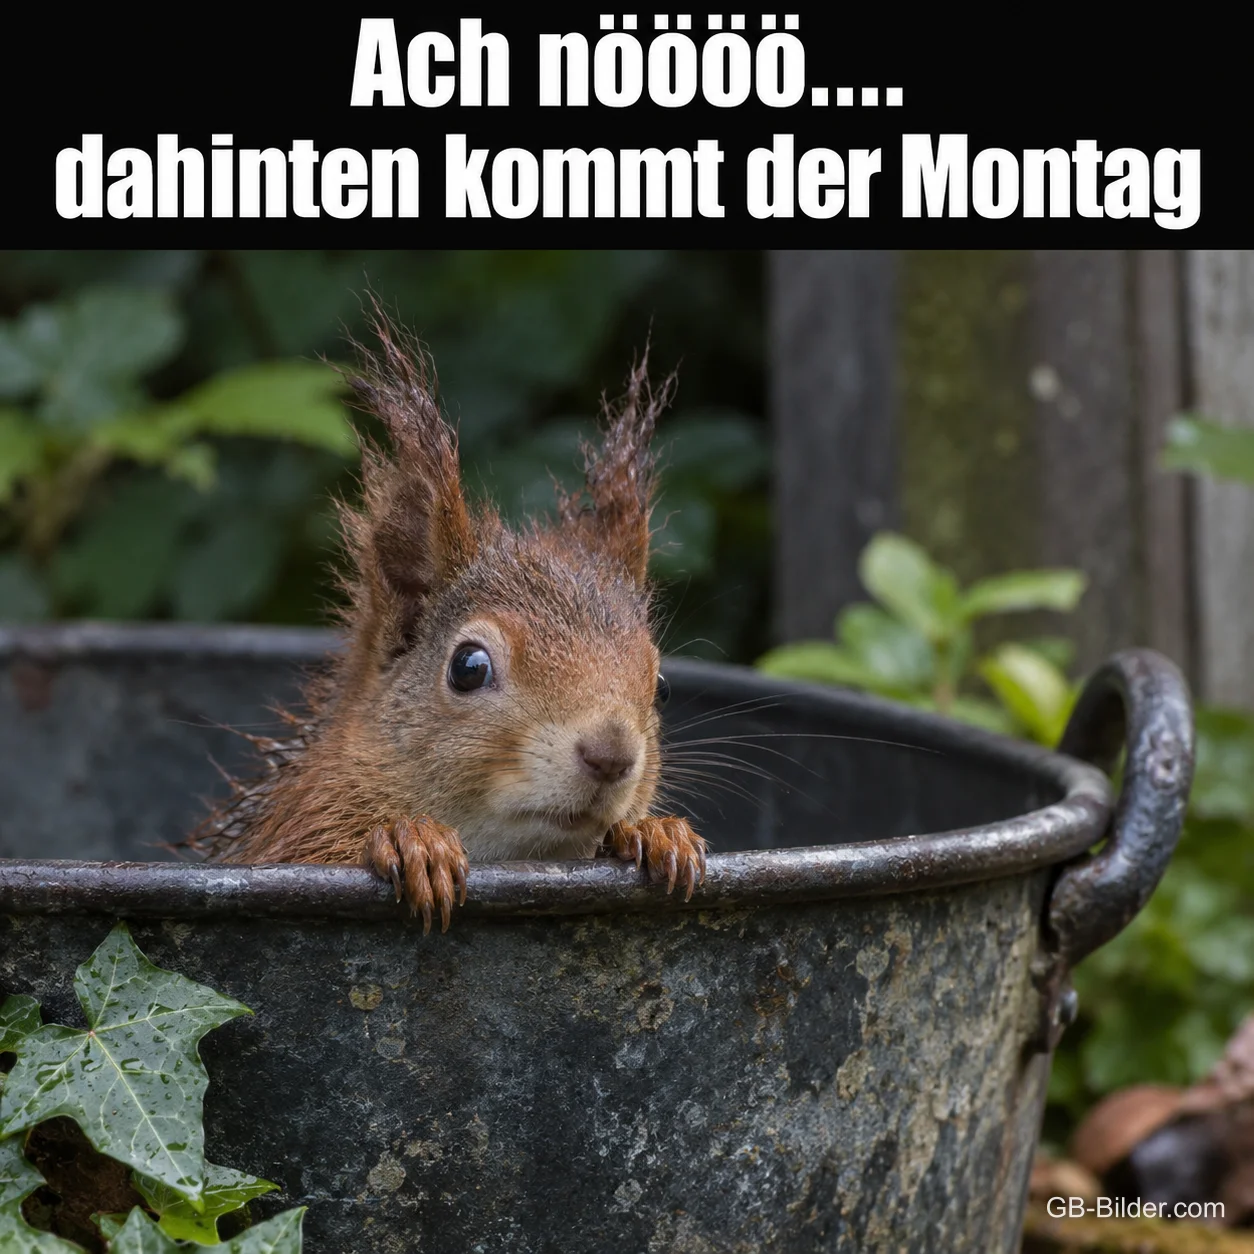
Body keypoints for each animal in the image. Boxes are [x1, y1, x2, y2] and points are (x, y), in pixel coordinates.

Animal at [187, 308, 707, 933]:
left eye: (660, 685)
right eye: (468, 667)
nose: (611, 754)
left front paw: (657, 833)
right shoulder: (289, 829)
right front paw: (411, 840)